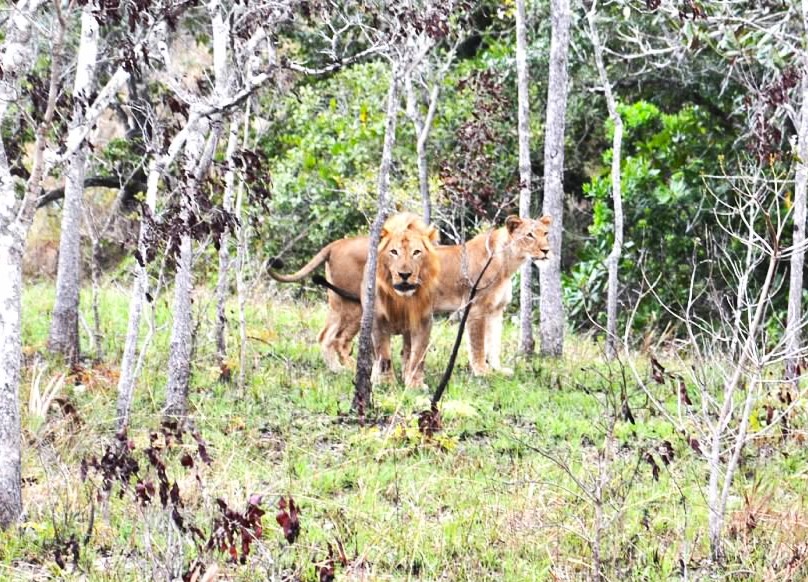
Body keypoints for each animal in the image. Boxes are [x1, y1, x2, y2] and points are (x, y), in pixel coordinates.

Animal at [268, 217, 552, 376]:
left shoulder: (496, 312)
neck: (509, 262)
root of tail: (336, 243)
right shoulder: (476, 308)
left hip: (340, 303)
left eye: (545, 233)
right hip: (355, 305)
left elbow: (494, 344)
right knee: (334, 339)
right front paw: (482, 372)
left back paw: (341, 368)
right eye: (529, 235)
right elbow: (478, 344)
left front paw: (499, 369)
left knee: (326, 335)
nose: (547, 250)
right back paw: (343, 369)